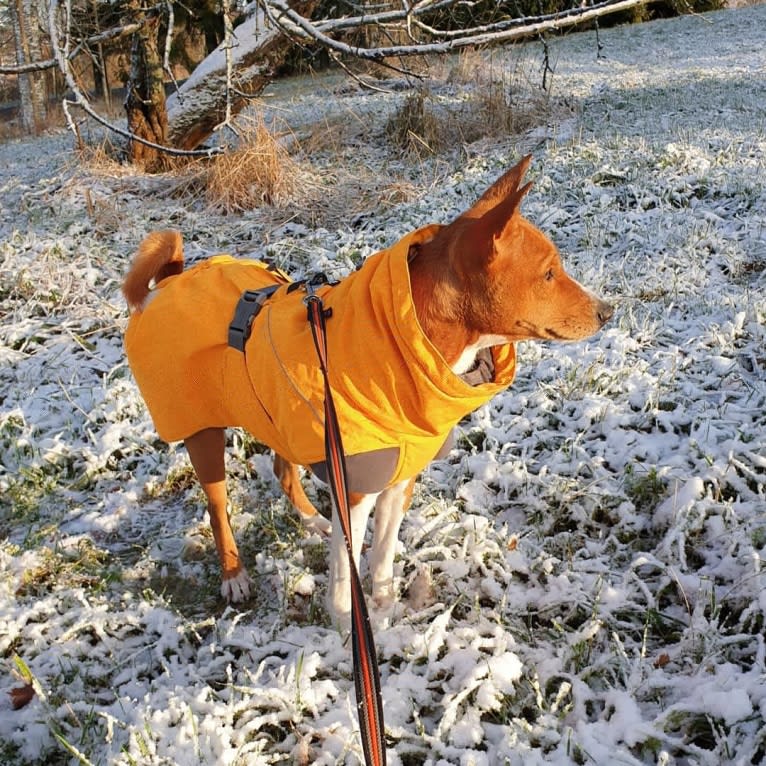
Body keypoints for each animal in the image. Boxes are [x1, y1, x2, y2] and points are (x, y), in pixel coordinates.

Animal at [123, 154, 616, 624]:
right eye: (549, 274)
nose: (607, 311)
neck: (406, 341)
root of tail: (169, 280)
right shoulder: (355, 489)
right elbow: (346, 575)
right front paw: (348, 628)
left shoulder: (400, 477)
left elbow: (381, 556)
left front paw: (384, 605)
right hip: (201, 432)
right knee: (217, 506)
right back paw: (234, 575)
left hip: (277, 416)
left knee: (283, 472)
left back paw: (314, 522)